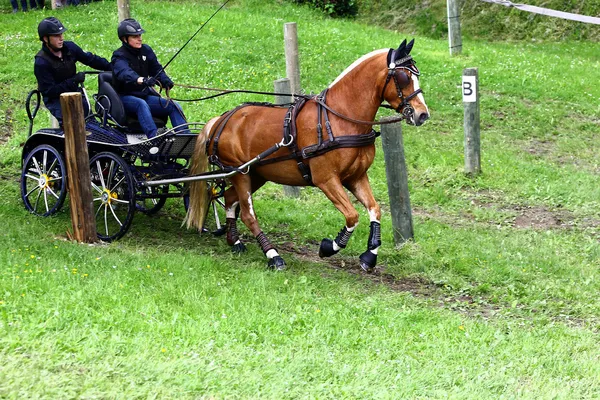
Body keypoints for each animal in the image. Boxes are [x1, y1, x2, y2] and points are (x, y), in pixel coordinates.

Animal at [185, 39, 428, 272]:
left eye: (417, 75)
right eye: (403, 77)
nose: (422, 114)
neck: (339, 118)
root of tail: (222, 119)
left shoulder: (356, 177)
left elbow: (374, 210)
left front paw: (369, 256)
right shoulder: (326, 180)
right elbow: (352, 216)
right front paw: (329, 247)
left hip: (255, 174)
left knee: (230, 199)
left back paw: (234, 241)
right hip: (240, 173)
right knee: (247, 214)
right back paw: (273, 256)